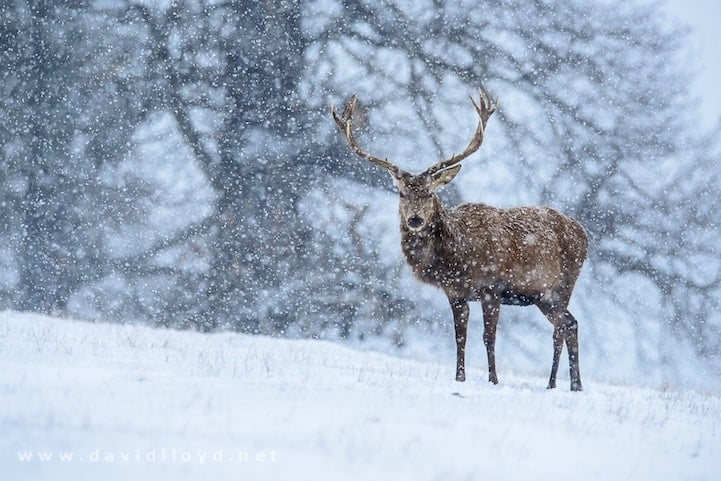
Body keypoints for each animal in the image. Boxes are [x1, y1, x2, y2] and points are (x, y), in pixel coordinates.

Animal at [330, 89, 588, 390]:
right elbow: (459, 337)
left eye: (430, 193)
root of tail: (584, 234)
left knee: (562, 327)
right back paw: (569, 384)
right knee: (570, 324)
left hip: (561, 285)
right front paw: (459, 378)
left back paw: (559, 384)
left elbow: (488, 338)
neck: (457, 257)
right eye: (402, 193)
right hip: (542, 296)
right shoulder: (455, 293)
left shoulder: (492, 287)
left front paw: (493, 380)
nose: (415, 219)